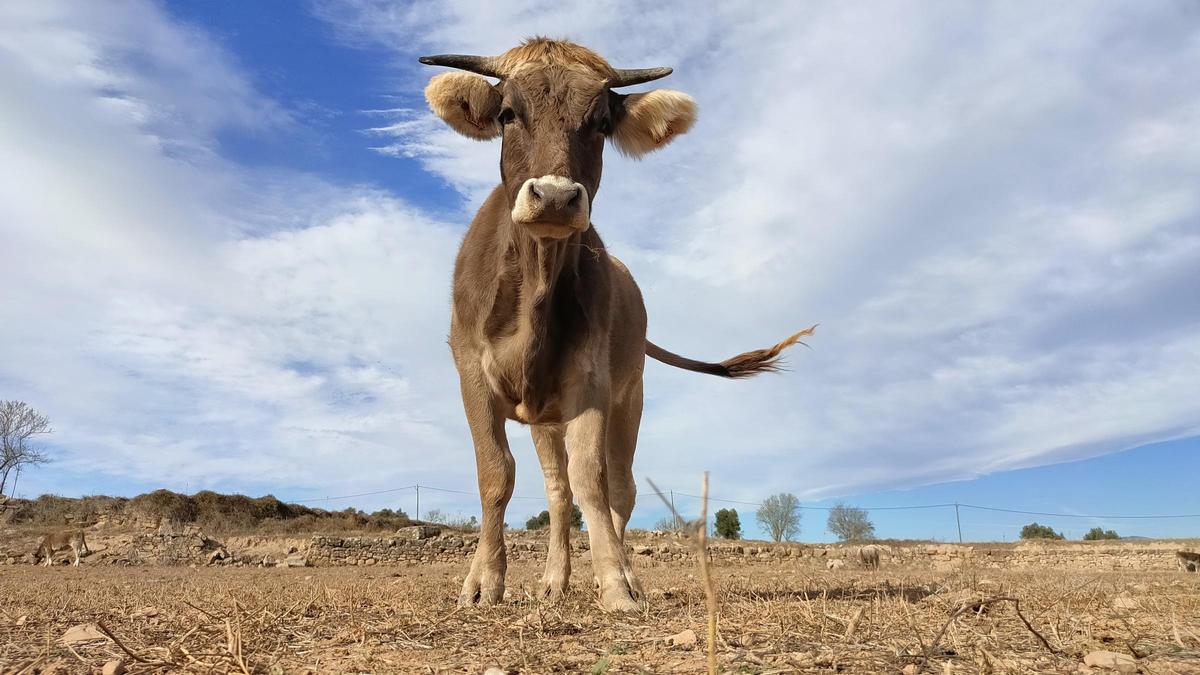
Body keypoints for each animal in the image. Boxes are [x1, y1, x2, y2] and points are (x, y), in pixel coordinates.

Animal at [422, 39, 816, 612]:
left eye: (601, 122)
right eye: (508, 113)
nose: (556, 197)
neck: (534, 291)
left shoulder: (591, 380)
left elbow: (593, 479)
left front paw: (616, 584)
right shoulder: (470, 370)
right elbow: (497, 474)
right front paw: (483, 581)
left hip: (630, 397)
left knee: (619, 491)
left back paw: (623, 571)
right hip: (545, 418)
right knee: (557, 490)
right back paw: (554, 579)